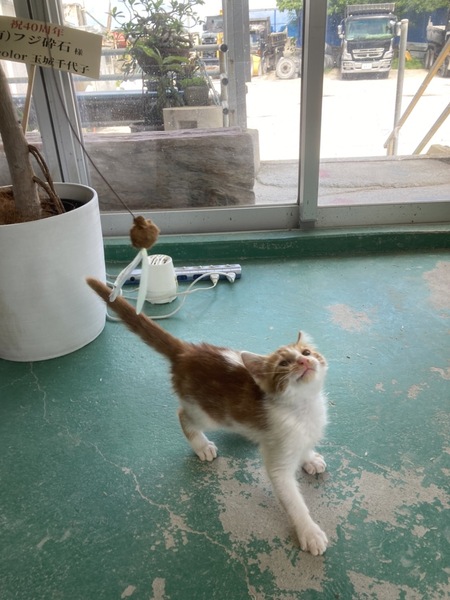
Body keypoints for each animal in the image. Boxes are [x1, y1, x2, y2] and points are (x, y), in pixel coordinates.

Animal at [87, 278, 329, 555]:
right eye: (283, 364)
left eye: (307, 353)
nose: (303, 362)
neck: (304, 408)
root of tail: (186, 351)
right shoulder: (278, 457)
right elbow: (294, 500)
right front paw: (309, 532)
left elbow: (306, 446)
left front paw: (310, 458)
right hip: (208, 413)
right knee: (183, 415)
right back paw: (201, 445)